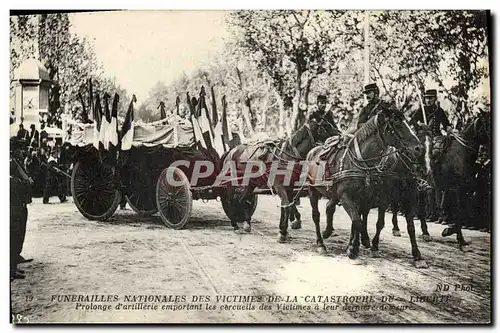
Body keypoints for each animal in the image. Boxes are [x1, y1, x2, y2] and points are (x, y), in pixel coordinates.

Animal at [304, 110, 426, 266]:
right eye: (398, 126)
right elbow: (358, 221)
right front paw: (355, 248)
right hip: (312, 190)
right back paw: (321, 244)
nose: (419, 148)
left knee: (330, 207)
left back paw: (330, 232)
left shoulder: (402, 199)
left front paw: (417, 255)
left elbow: (408, 227)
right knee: (316, 216)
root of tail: (312, 151)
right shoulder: (352, 198)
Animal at [432, 111, 490, 249]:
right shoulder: (456, 188)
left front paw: (449, 230)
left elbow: (463, 210)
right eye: (488, 123)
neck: (462, 152)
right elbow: (458, 211)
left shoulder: (464, 189)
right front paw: (459, 238)